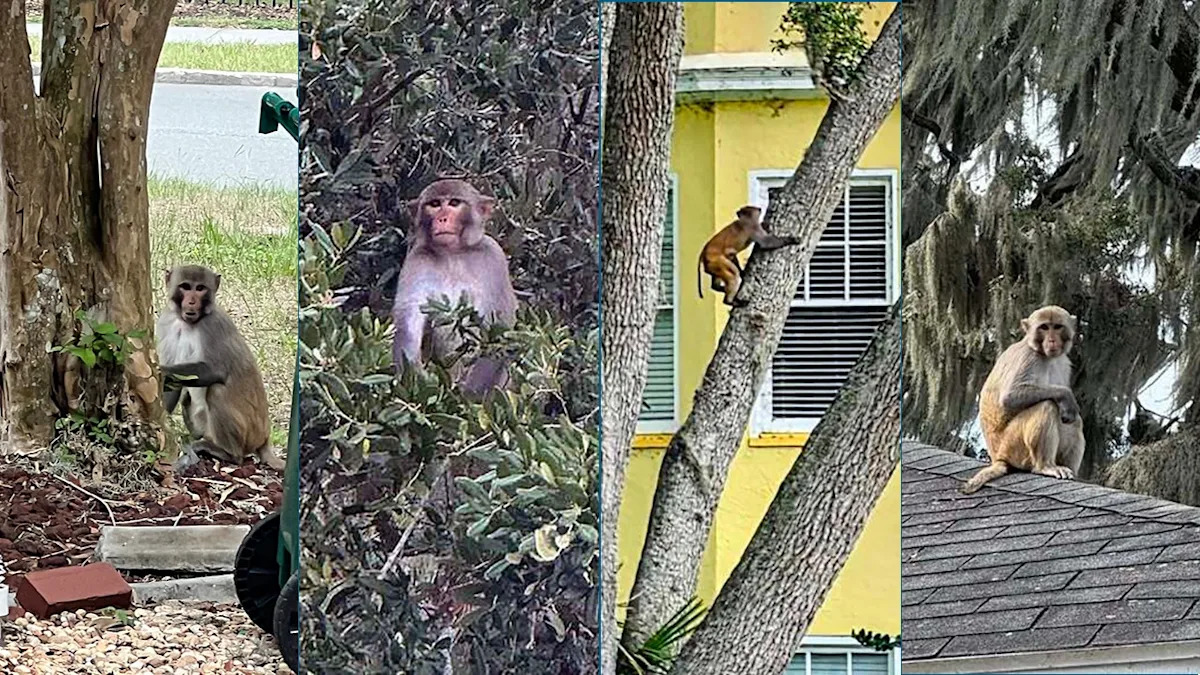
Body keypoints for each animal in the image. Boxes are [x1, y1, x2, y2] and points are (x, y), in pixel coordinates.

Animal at [156, 265, 284, 471]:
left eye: (200, 288)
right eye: (185, 287)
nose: (191, 301)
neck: (188, 323)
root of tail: (265, 438)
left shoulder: (214, 325)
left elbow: (216, 370)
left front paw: (161, 369)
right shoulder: (167, 322)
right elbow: (172, 386)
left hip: (250, 433)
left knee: (216, 391)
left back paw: (229, 454)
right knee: (187, 397)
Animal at [392, 179, 518, 396]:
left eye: (454, 203)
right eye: (434, 204)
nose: (442, 218)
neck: (453, 254)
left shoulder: (494, 257)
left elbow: (497, 329)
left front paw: (471, 395)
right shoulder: (417, 260)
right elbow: (407, 323)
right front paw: (414, 381)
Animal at [961, 305, 1085, 494]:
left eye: (1057, 327)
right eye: (1044, 327)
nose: (1052, 340)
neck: (1044, 355)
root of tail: (998, 458)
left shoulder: (1064, 363)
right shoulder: (1029, 357)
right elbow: (1010, 397)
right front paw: (1066, 395)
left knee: (1075, 421)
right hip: (1012, 447)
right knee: (1046, 406)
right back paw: (1046, 466)